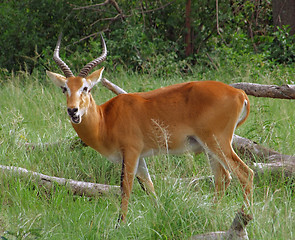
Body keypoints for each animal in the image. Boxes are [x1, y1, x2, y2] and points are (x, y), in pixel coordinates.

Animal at [46, 32, 254, 222]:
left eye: (86, 88)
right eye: (65, 88)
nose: (72, 110)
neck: (105, 120)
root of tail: (239, 93)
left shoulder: (131, 152)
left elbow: (126, 188)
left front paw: (120, 225)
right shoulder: (140, 157)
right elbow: (149, 187)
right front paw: (161, 214)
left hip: (218, 142)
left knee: (245, 174)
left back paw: (245, 216)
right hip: (209, 147)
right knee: (223, 178)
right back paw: (213, 216)